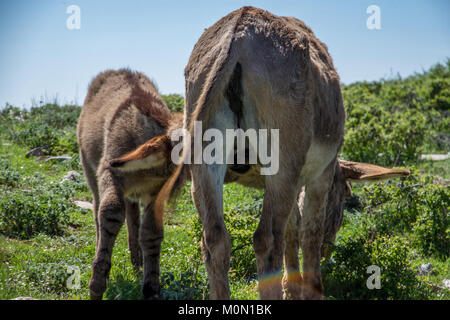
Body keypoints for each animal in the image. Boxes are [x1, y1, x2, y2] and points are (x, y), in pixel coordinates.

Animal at [77, 69, 181, 300]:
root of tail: (117, 70)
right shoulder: (109, 172)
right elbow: (111, 212)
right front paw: (97, 283)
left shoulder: (154, 192)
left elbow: (151, 232)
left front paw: (151, 288)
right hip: (90, 167)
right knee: (99, 210)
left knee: (132, 218)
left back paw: (137, 266)